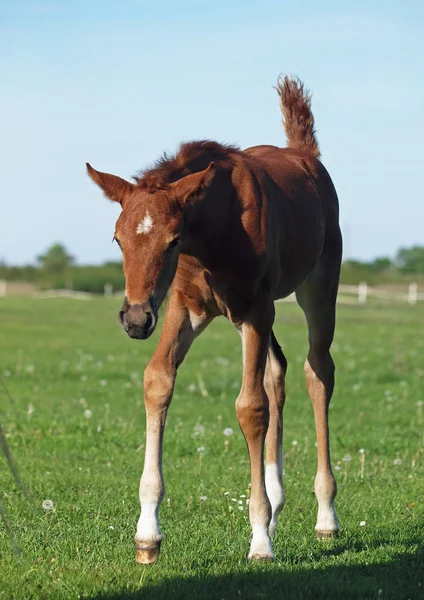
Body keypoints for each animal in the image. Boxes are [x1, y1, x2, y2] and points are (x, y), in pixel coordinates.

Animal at [88, 75, 342, 564]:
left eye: (172, 240)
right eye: (117, 238)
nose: (135, 319)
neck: (216, 228)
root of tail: (306, 157)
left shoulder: (255, 309)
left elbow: (250, 407)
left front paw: (259, 539)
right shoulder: (184, 307)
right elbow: (158, 380)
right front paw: (147, 535)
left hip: (318, 285)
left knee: (317, 372)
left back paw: (325, 517)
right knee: (278, 372)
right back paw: (278, 506)